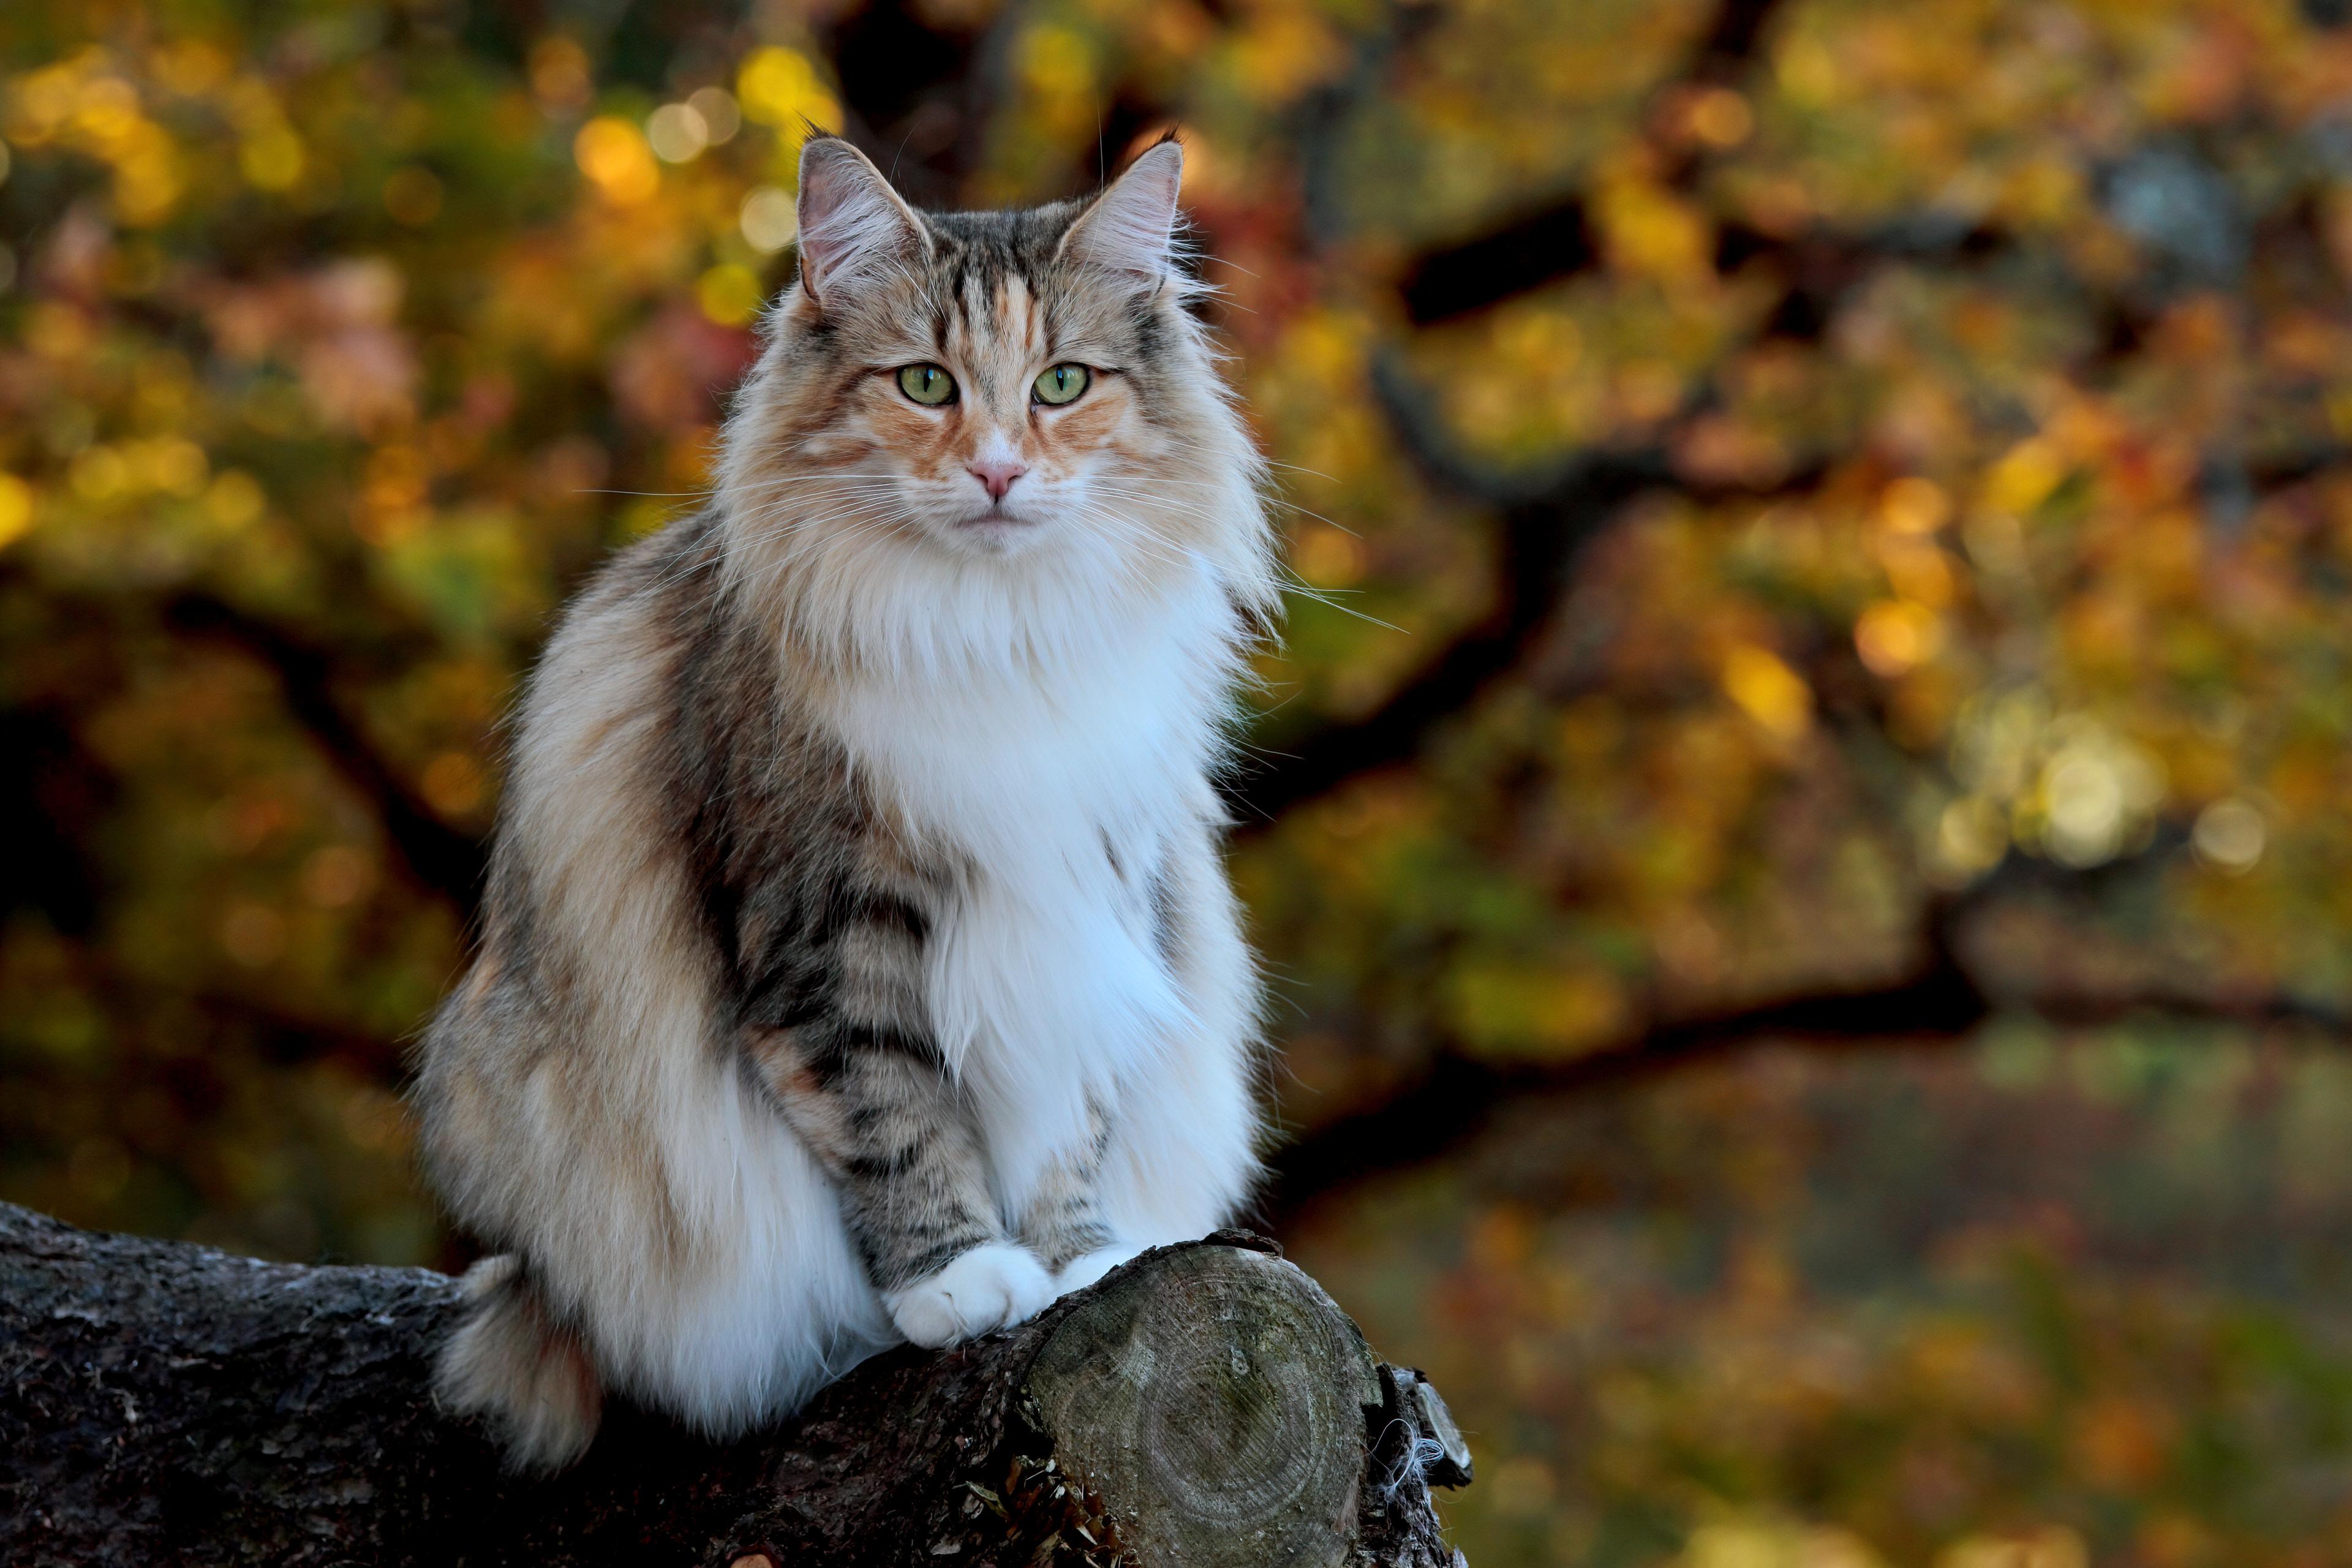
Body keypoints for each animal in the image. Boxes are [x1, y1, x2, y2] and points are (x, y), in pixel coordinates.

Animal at [413, 135, 1279, 1476]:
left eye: (1063, 384)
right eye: (925, 384)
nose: (997, 470)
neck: (998, 633)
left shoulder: (1092, 900)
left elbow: (1067, 1119)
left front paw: (1080, 1261)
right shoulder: (826, 922)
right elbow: (895, 1112)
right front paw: (963, 1279)